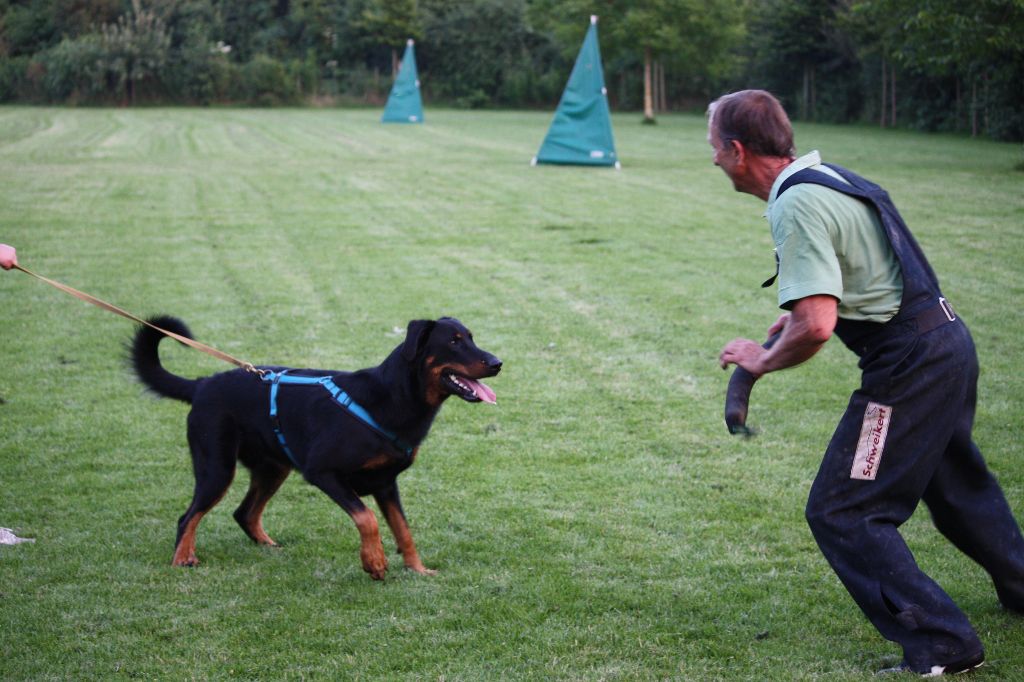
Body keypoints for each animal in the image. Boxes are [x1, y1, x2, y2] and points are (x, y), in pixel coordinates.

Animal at [130, 315, 501, 577]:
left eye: (471, 337)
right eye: (453, 342)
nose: (498, 363)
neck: (392, 397)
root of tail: (201, 385)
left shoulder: (386, 485)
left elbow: (403, 529)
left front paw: (418, 569)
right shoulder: (323, 472)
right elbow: (367, 518)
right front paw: (374, 562)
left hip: (273, 468)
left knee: (244, 512)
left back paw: (267, 545)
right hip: (217, 468)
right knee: (187, 517)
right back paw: (183, 559)